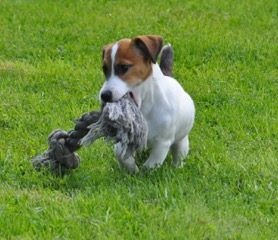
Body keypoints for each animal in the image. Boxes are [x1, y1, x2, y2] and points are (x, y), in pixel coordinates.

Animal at [100, 34, 195, 172]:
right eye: (104, 69)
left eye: (124, 67)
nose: (104, 95)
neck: (145, 108)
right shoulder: (125, 138)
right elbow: (121, 154)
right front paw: (132, 169)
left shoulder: (162, 143)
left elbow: (151, 165)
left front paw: (143, 173)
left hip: (182, 141)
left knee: (179, 154)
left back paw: (177, 167)